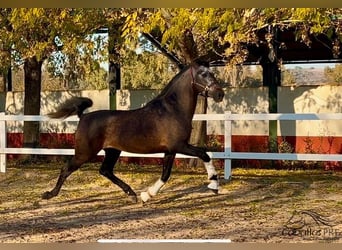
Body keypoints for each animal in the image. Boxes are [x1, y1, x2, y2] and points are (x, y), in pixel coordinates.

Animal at [42, 62, 224, 203]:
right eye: (203, 74)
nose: (219, 93)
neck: (173, 110)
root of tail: (84, 116)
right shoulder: (179, 146)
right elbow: (204, 154)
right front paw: (213, 185)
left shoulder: (170, 150)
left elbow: (165, 174)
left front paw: (146, 195)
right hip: (85, 153)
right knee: (66, 168)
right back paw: (49, 194)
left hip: (112, 151)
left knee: (105, 170)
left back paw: (132, 194)